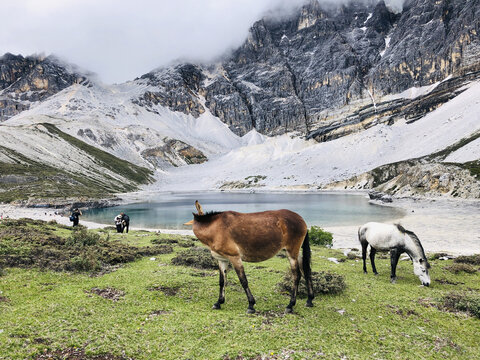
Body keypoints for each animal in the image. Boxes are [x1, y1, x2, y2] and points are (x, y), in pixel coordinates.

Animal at [184, 201, 316, 314]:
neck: (215, 227)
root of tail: (301, 219)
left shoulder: (235, 258)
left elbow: (243, 281)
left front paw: (251, 305)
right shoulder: (222, 260)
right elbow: (222, 281)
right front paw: (219, 302)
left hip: (291, 253)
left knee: (296, 275)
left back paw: (290, 305)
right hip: (296, 253)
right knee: (306, 271)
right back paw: (309, 300)